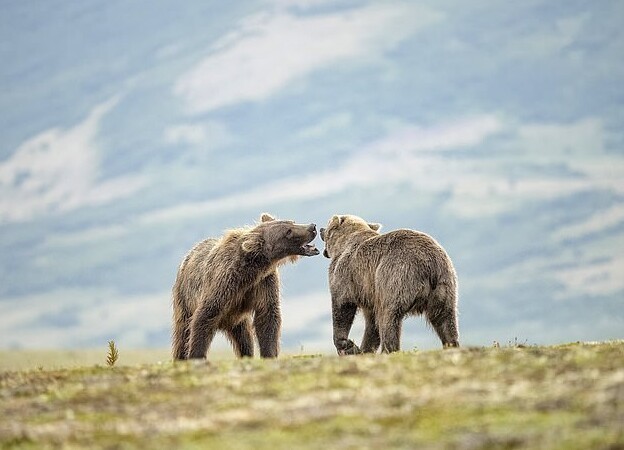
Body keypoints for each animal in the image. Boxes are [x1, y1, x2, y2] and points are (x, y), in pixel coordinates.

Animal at [172, 213, 320, 360]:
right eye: (287, 232)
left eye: (292, 222)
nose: (312, 227)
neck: (250, 270)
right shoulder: (224, 282)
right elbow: (205, 315)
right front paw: (196, 355)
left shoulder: (263, 283)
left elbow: (268, 317)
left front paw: (269, 354)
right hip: (184, 298)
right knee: (183, 332)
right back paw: (180, 356)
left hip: (237, 318)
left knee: (244, 338)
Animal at [322, 214, 458, 356]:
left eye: (327, 225)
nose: (320, 230)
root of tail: (429, 263)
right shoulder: (369, 292)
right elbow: (372, 324)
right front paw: (364, 349)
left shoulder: (346, 273)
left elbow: (342, 304)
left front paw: (348, 346)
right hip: (444, 287)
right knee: (445, 319)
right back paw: (452, 344)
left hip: (396, 276)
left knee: (389, 317)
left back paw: (388, 350)